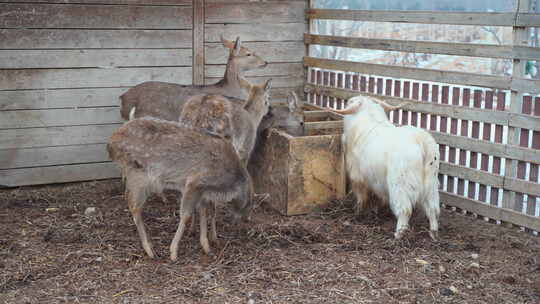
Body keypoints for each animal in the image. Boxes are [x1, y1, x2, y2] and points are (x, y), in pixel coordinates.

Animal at [109, 117, 255, 260]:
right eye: (248, 207)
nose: (242, 222)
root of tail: (110, 143)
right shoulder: (194, 183)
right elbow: (186, 215)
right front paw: (173, 252)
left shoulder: (202, 190)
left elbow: (204, 211)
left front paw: (206, 246)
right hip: (139, 175)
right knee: (134, 207)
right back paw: (150, 250)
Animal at [336, 95, 440, 240]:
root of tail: (421, 141)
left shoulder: (357, 175)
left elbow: (361, 196)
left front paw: (358, 212)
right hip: (431, 183)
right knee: (432, 208)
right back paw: (433, 233)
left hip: (401, 183)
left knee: (405, 209)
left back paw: (399, 234)